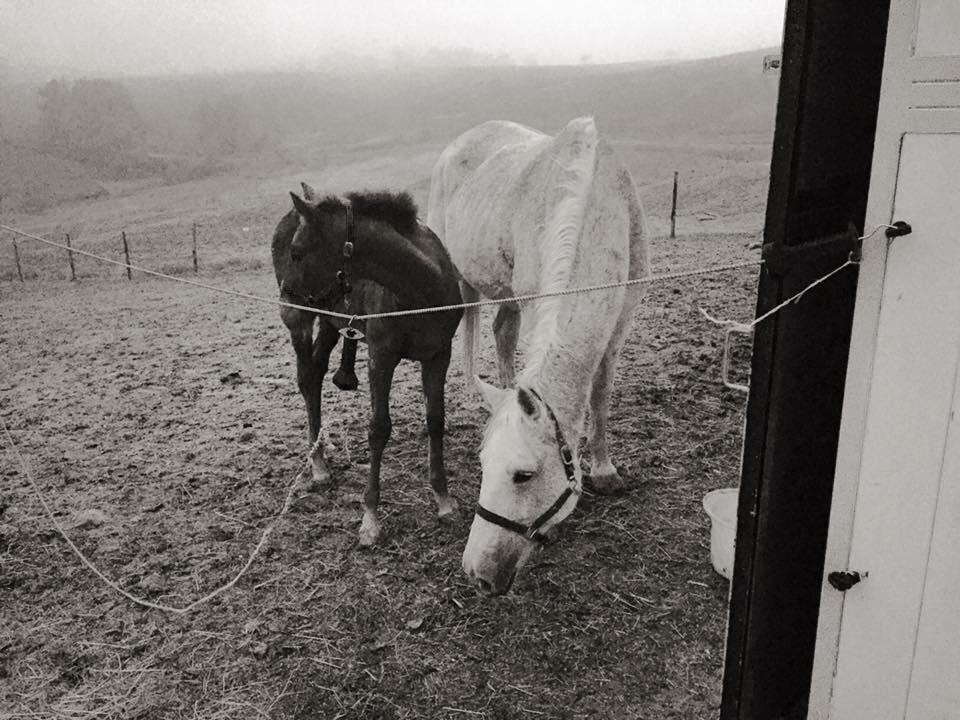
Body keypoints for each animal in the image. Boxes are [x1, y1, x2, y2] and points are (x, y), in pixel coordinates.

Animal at [430, 116, 648, 592]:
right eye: (482, 466)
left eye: (523, 475)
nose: (477, 573)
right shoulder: (536, 302)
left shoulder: (620, 321)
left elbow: (600, 395)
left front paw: (603, 468)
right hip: (461, 277)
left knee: (501, 332)